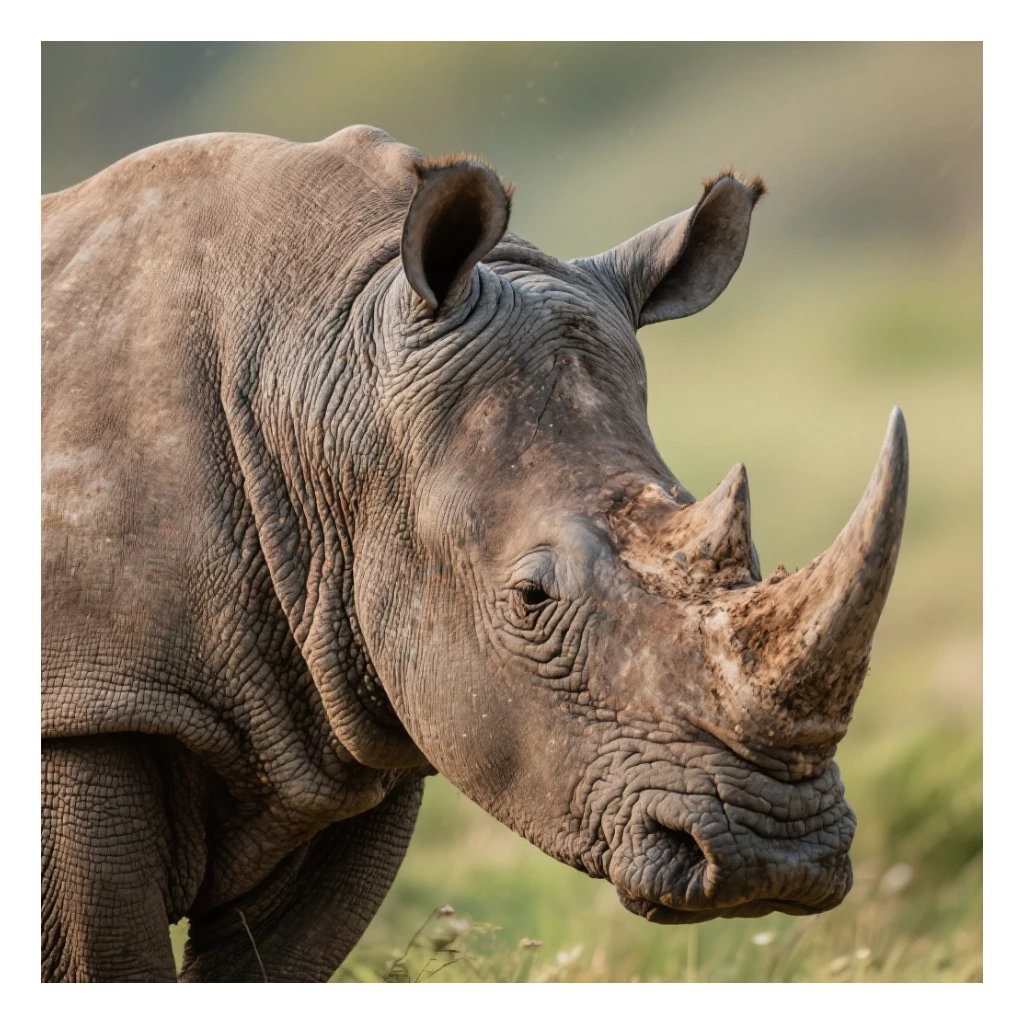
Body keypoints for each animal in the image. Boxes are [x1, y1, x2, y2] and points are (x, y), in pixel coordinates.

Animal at [41, 125, 908, 982]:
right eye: (531, 597)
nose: (776, 855)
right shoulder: (91, 706)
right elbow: (110, 961)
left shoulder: (350, 723)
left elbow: (275, 965)